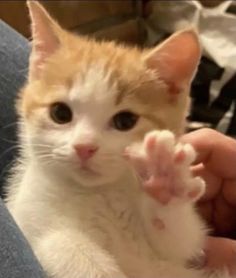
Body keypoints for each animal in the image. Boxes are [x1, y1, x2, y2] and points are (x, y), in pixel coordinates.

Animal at [6, 2, 230, 278]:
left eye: (125, 121)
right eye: (60, 113)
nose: (84, 147)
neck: (96, 194)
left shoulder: (180, 253)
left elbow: (180, 238)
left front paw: (166, 181)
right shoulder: (27, 217)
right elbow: (59, 244)